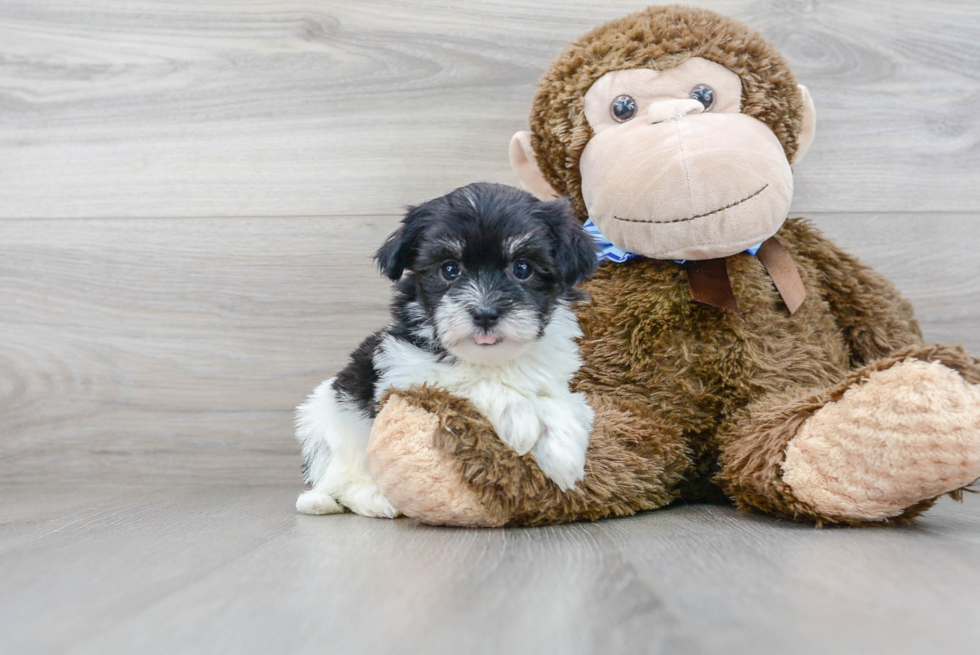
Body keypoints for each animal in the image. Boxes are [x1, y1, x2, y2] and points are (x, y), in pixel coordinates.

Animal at [292, 183, 596, 516]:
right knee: (341, 482)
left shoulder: (552, 373)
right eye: (450, 269)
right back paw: (370, 499)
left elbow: (559, 400)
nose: (485, 313)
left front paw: (564, 451)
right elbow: (468, 382)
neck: (492, 359)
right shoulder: (405, 372)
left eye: (522, 268)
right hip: (330, 423)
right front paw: (519, 419)